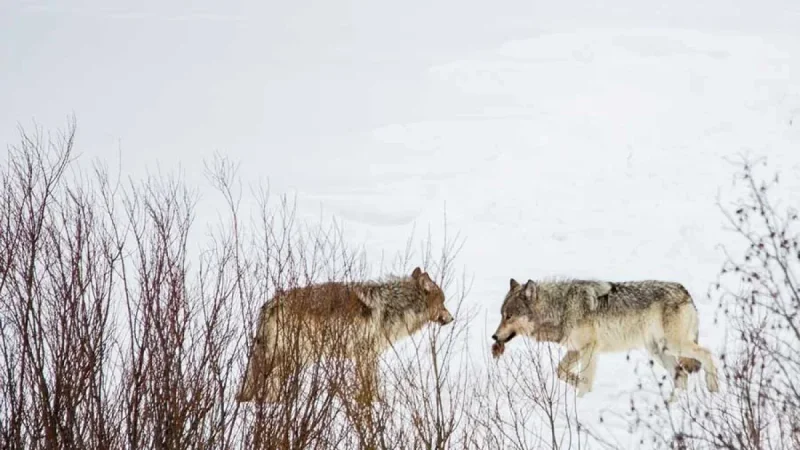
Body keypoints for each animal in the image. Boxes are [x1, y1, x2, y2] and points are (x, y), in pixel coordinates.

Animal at [236, 267, 454, 404]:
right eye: (443, 302)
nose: (452, 318)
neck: (393, 306)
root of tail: (269, 305)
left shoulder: (365, 356)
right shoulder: (366, 354)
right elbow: (371, 386)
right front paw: (374, 404)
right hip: (286, 356)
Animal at [491, 278, 719, 401]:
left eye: (508, 316)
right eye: (501, 314)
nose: (494, 336)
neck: (560, 308)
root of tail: (684, 290)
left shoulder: (589, 349)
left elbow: (584, 382)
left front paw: (581, 401)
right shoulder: (576, 350)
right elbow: (561, 371)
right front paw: (576, 382)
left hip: (674, 346)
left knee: (707, 354)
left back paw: (713, 389)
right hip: (659, 351)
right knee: (682, 376)